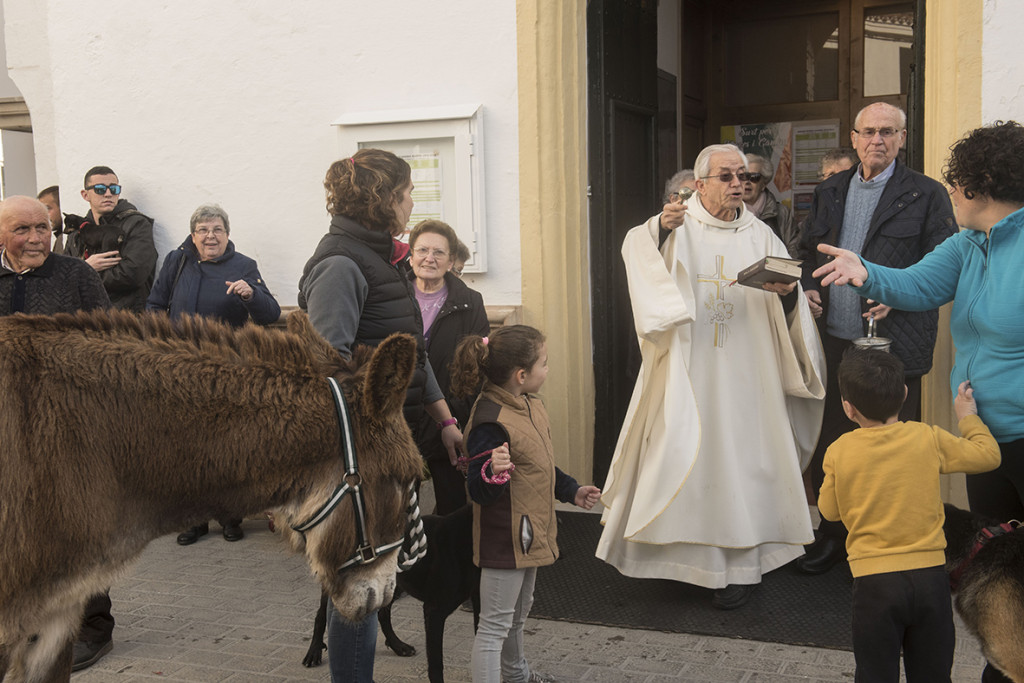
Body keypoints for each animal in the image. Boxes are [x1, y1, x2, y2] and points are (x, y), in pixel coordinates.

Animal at [301, 505, 481, 679]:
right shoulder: (434, 612)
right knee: (321, 614)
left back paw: (398, 646)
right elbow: (436, 663)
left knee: (383, 614)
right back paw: (313, 652)